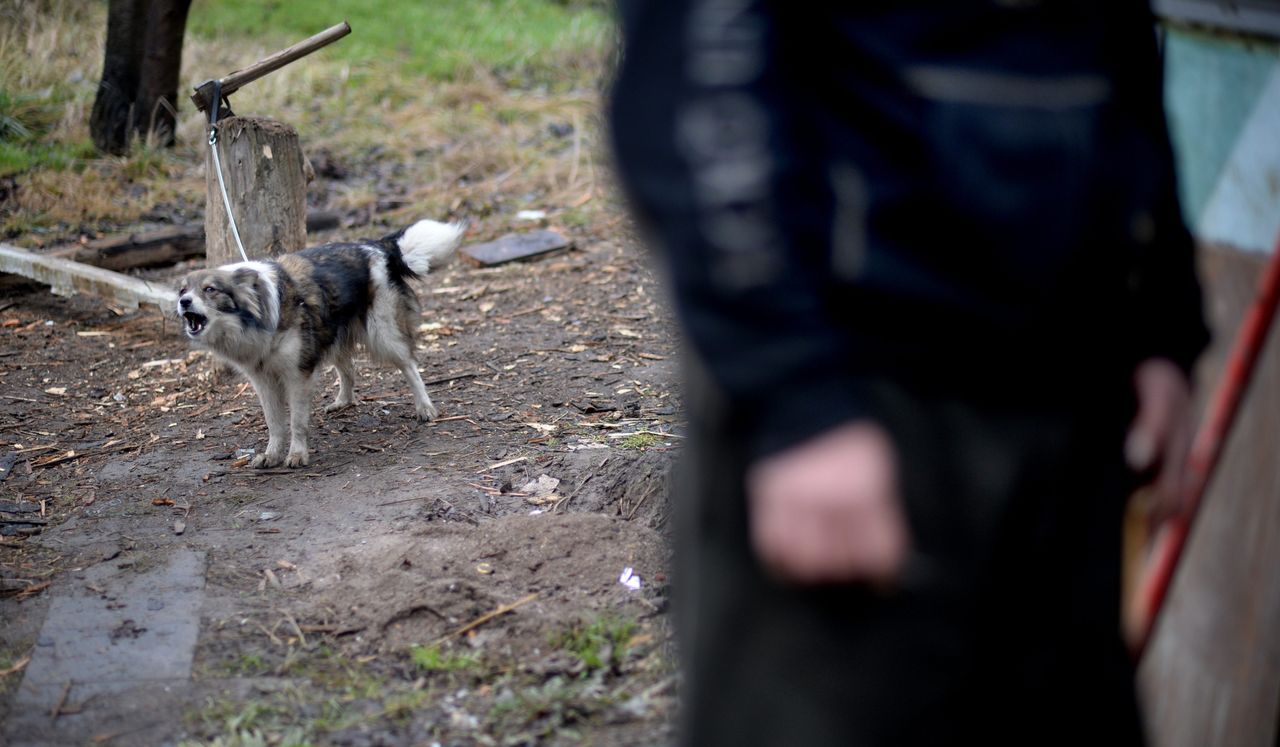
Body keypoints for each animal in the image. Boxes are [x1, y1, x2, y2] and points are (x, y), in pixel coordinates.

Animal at [177, 218, 463, 470]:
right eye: (182, 290)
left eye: (210, 289)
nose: (183, 302)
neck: (258, 314)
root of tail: (375, 246)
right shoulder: (264, 380)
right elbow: (274, 423)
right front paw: (271, 456)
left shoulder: (297, 375)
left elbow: (297, 422)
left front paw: (297, 455)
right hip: (332, 332)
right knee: (348, 368)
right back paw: (344, 401)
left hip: (384, 335)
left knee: (410, 366)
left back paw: (425, 408)